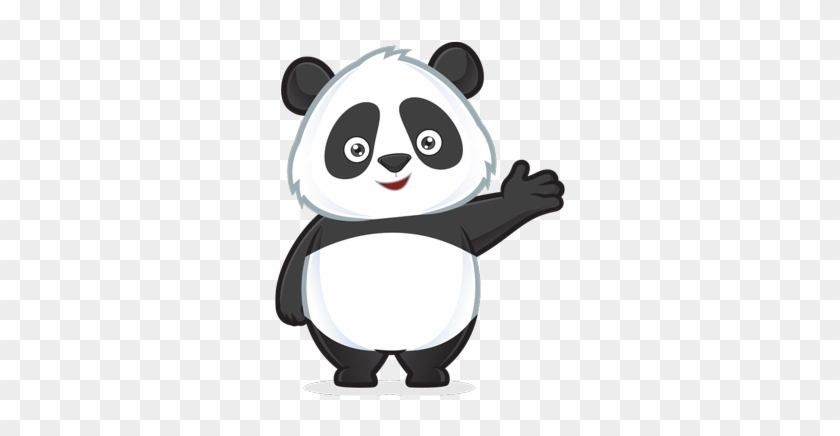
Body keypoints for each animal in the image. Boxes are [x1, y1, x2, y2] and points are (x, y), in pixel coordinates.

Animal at [277, 43, 564, 388]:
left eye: (429, 141)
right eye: (356, 148)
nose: (394, 160)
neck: (393, 216)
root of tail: (390, 348)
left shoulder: (447, 221)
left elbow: (485, 218)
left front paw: (527, 193)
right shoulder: (326, 228)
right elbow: (298, 257)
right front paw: (290, 311)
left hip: (447, 327)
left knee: (429, 353)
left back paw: (427, 377)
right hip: (336, 328)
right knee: (352, 353)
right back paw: (355, 377)